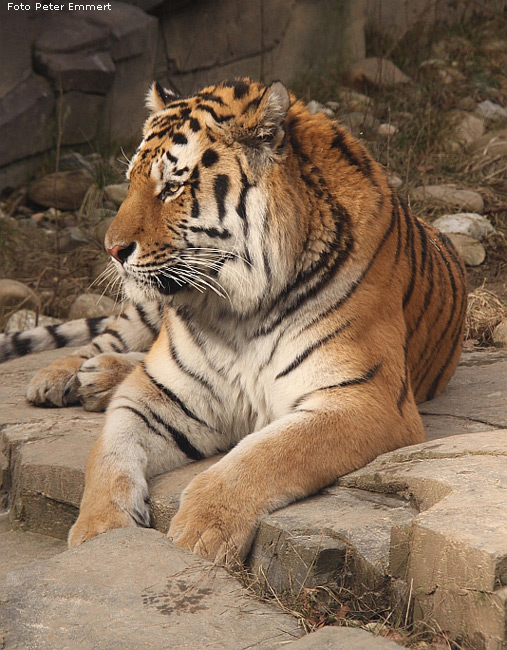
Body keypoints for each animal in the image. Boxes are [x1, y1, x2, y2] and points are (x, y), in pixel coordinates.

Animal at [0, 77, 468, 560]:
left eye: (171, 188)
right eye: (129, 183)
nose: (112, 249)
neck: (235, 311)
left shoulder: (363, 398)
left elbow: (266, 455)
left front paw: (202, 530)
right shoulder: (156, 396)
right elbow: (107, 454)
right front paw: (99, 532)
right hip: (145, 309)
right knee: (108, 338)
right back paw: (63, 377)